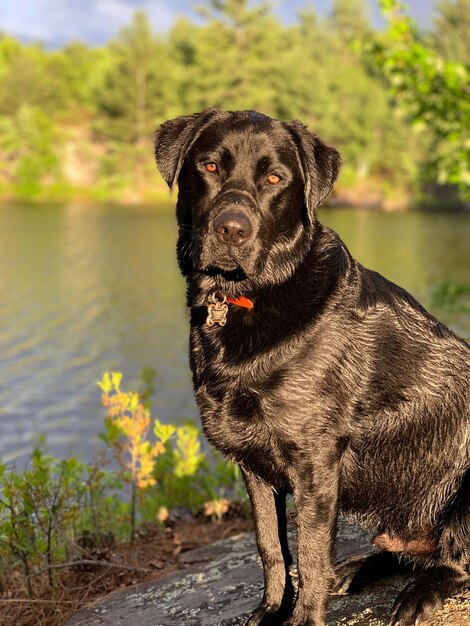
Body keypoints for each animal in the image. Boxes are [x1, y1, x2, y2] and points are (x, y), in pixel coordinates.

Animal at [155, 109, 470, 620]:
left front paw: (302, 616)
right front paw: (269, 612)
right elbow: (270, 546)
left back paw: (416, 595)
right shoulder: (253, 463)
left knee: (454, 562)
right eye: (209, 166)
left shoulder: (314, 460)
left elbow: (310, 553)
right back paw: (357, 570)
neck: (245, 299)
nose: (232, 229)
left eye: (275, 178)